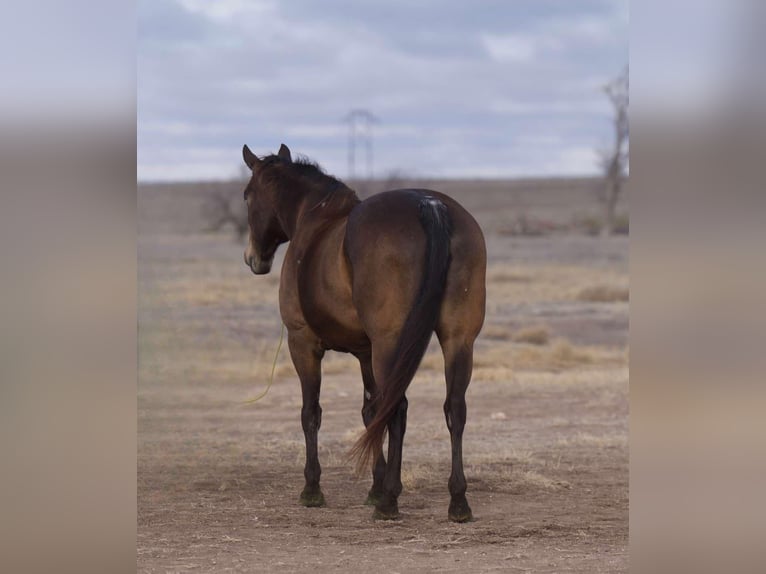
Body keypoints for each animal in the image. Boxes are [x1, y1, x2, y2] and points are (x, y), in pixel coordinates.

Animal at [242, 143, 486, 522]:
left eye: (247, 196)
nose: (253, 258)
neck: (314, 220)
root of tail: (430, 205)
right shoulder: (365, 352)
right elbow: (370, 412)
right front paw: (374, 485)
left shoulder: (303, 343)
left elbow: (311, 413)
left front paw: (313, 489)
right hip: (458, 339)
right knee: (454, 409)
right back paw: (457, 501)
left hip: (390, 344)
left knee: (398, 408)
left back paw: (390, 502)